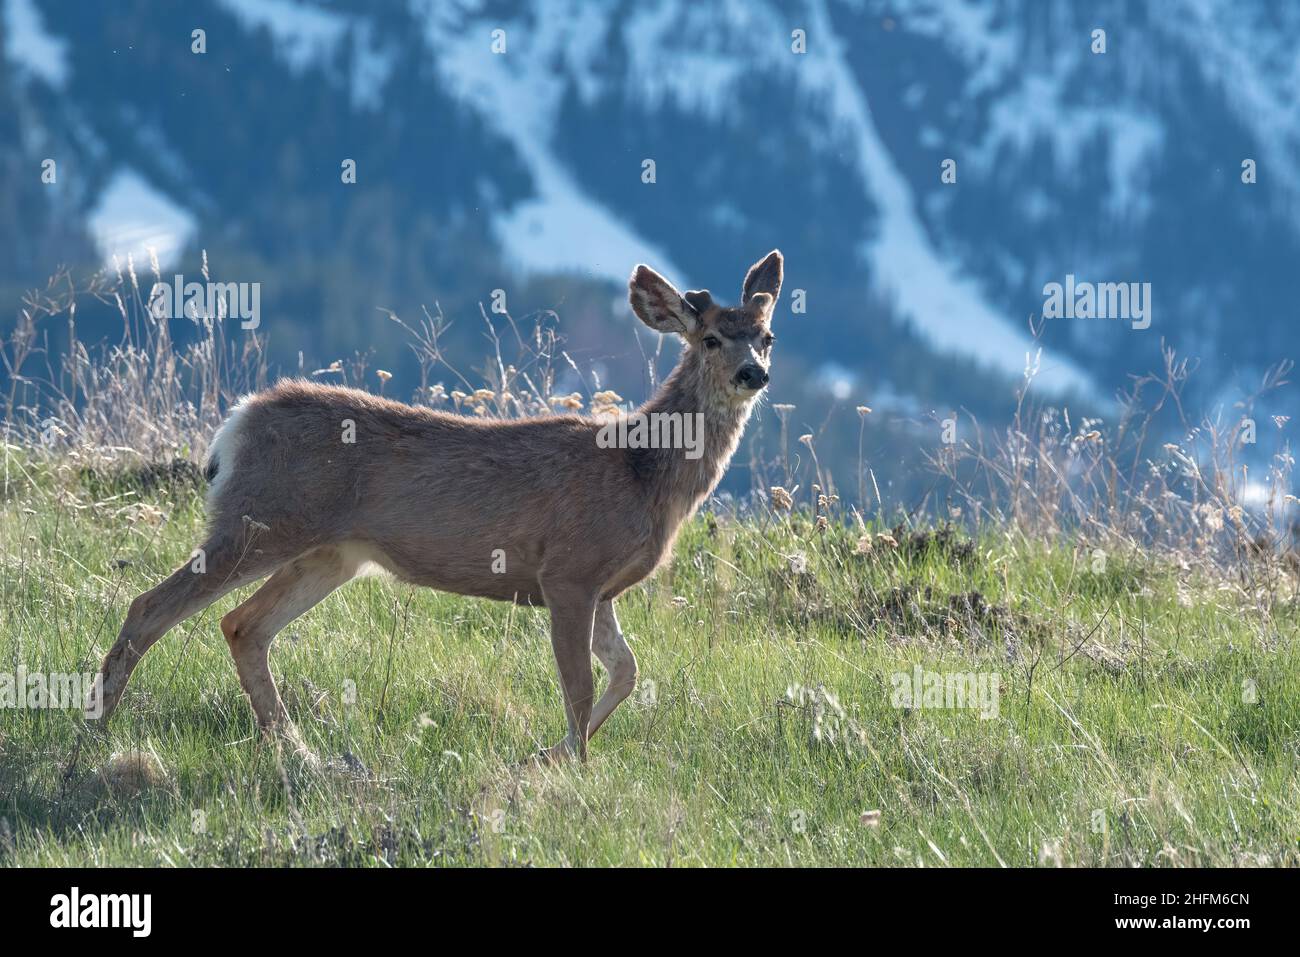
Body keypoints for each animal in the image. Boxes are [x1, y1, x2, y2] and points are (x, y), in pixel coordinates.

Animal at [89, 250, 783, 764]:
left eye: (769, 336)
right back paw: (97, 728)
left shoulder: (604, 586)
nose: (754, 374)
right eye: (712, 338)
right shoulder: (568, 571)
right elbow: (581, 687)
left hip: (329, 552)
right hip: (260, 520)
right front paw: (573, 769)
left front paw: (550, 756)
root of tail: (236, 425)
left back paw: (298, 751)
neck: (642, 470)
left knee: (243, 624)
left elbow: (627, 673)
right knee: (152, 605)